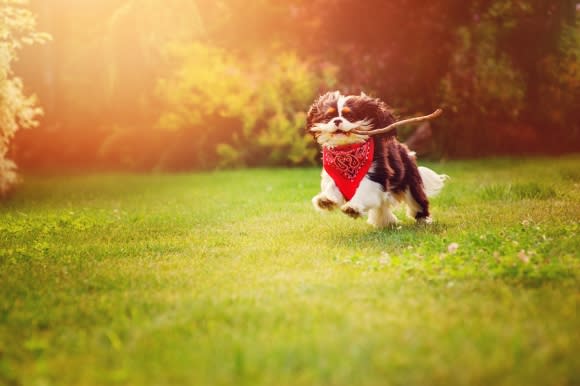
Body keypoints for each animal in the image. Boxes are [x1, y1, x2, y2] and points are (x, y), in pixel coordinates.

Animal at [306, 91, 446, 228]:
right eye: (328, 117)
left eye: (350, 116)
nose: (337, 120)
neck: (347, 153)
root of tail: (405, 150)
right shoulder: (336, 175)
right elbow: (331, 187)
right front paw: (325, 200)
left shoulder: (376, 174)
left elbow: (364, 190)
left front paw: (353, 207)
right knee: (381, 206)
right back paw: (385, 222)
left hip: (410, 185)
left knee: (418, 203)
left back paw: (424, 221)